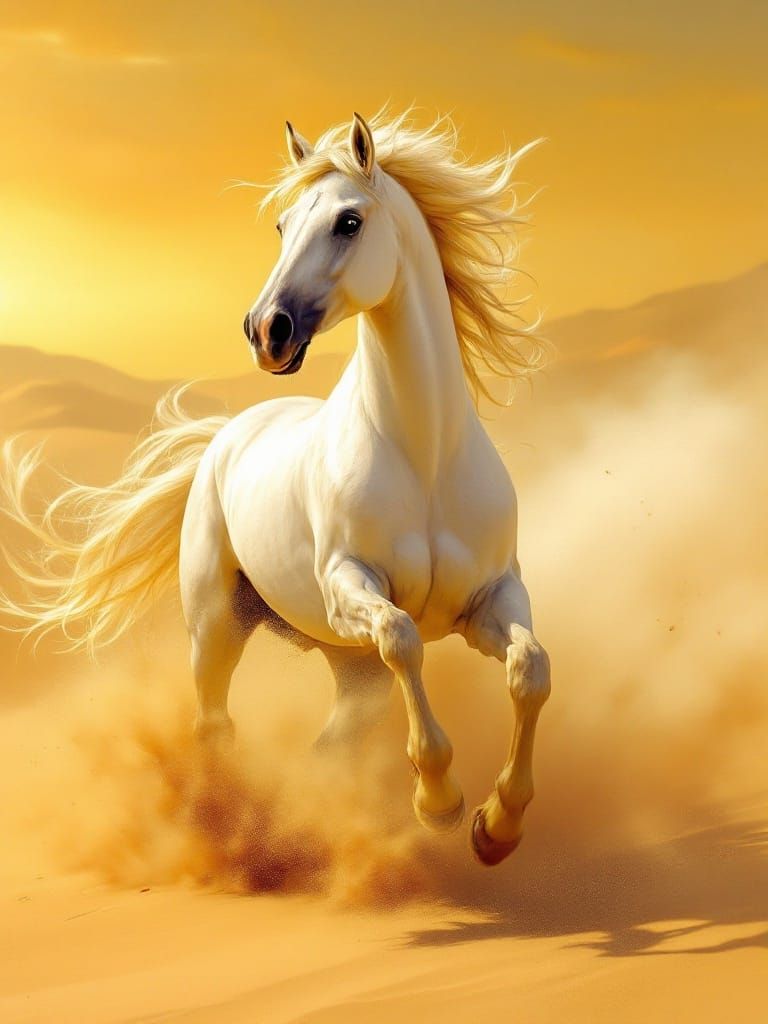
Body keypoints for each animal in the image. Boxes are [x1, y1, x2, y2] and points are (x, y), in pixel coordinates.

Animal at [0, 111, 551, 866]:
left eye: (349, 221)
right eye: (284, 225)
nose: (266, 331)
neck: (425, 454)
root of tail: (226, 437)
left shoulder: (492, 597)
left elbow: (531, 669)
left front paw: (498, 826)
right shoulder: (351, 586)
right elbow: (404, 637)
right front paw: (438, 800)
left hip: (347, 664)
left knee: (333, 738)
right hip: (217, 627)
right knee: (214, 726)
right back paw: (229, 828)